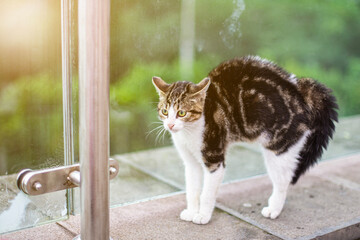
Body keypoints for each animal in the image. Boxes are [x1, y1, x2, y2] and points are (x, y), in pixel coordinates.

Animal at [151, 55, 338, 225]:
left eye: (182, 113)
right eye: (165, 111)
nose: (170, 125)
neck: (189, 132)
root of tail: (300, 90)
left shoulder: (214, 159)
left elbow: (207, 193)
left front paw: (203, 216)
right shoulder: (190, 163)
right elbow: (192, 190)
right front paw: (191, 212)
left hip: (278, 149)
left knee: (283, 180)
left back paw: (274, 209)